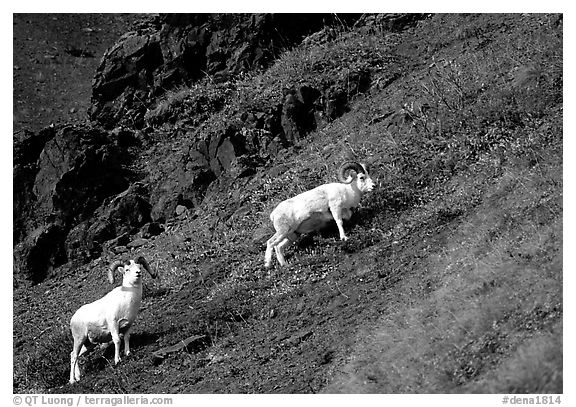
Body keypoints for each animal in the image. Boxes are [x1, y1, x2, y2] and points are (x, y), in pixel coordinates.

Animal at [68, 258, 156, 386]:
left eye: (139, 266)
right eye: (127, 269)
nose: (138, 273)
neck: (127, 300)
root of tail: (73, 319)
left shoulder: (128, 325)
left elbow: (126, 338)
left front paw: (128, 353)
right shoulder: (114, 325)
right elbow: (117, 340)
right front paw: (117, 360)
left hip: (88, 344)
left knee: (74, 355)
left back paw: (78, 377)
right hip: (79, 339)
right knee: (74, 356)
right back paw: (72, 381)